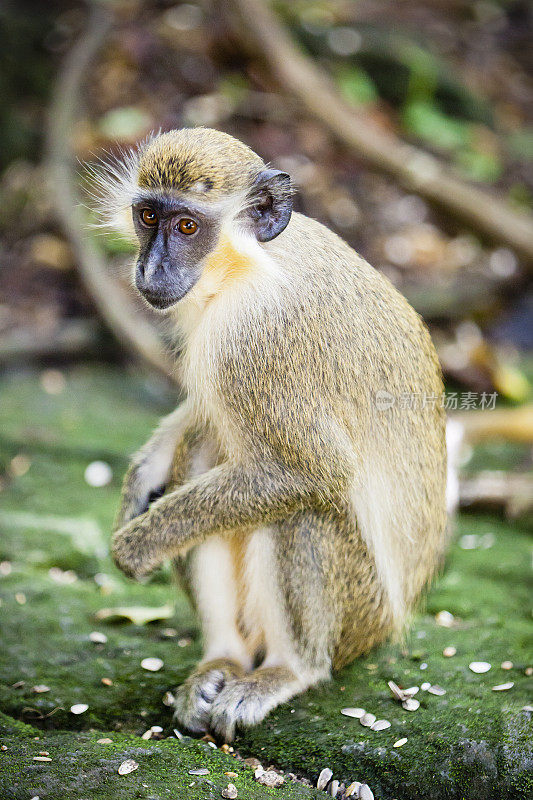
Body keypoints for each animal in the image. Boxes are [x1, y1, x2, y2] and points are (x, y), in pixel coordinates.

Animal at [97, 128, 446, 740]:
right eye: (148, 216)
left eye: (187, 226)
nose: (152, 268)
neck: (249, 264)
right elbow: (201, 414)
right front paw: (141, 477)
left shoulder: (255, 340)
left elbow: (312, 472)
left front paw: (137, 545)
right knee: (202, 453)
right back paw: (222, 660)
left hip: (361, 611)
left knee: (300, 509)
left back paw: (288, 670)